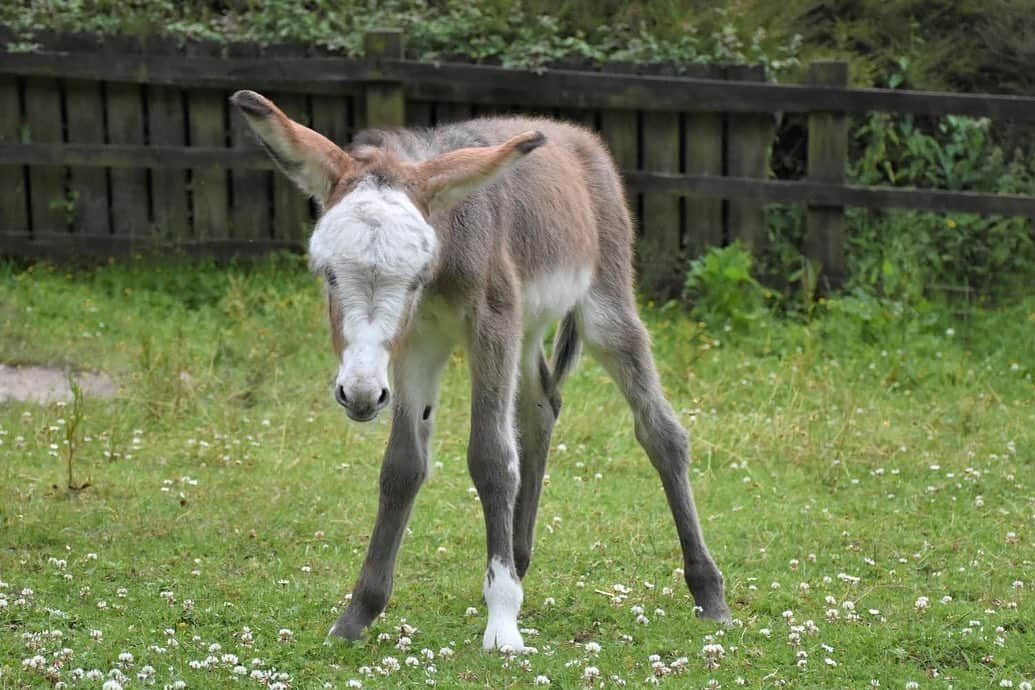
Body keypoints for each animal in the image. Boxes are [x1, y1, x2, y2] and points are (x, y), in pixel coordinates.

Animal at [230, 88, 732, 649]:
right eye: (327, 274)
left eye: (414, 279)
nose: (359, 394)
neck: (447, 248)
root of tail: (570, 134)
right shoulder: (418, 343)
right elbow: (402, 466)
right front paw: (358, 613)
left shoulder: (490, 324)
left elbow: (491, 459)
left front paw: (503, 623)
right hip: (527, 326)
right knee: (541, 409)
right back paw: (520, 558)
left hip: (602, 307)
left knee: (660, 431)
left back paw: (708, 591)